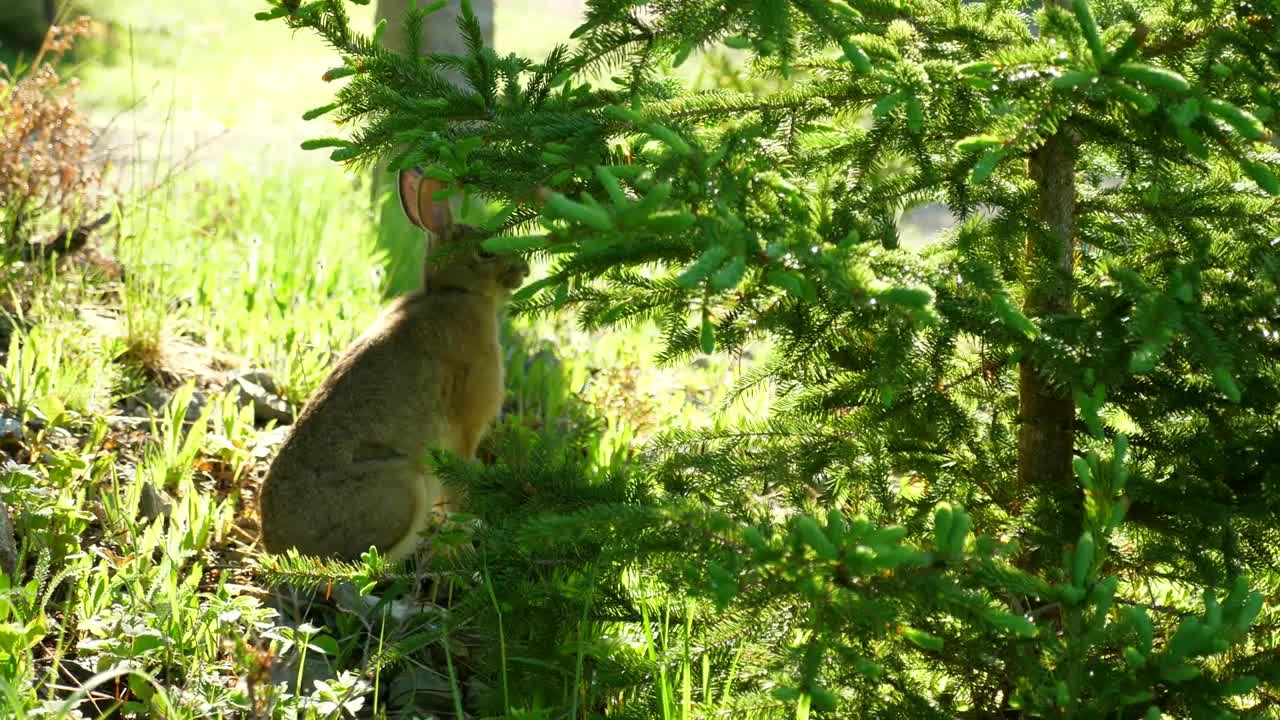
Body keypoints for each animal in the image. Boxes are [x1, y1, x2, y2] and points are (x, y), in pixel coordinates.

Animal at [259, 166, 529, 561]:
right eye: (484, 252)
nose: (523, 269)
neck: (455, 293)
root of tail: (278, 548)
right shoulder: (464, 430)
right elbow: (459, 492)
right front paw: (466, 544)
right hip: (405, 488)